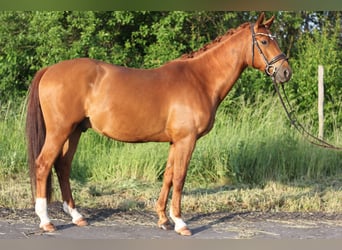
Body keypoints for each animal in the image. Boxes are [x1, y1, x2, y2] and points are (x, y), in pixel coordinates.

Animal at [26, 13, 292, 236]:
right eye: (264, 41)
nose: (285, 72)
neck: (200, 80)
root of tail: (50, 70)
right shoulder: (186, 140)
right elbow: (181, 178)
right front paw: (181, 223)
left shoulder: (176, 142)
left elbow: (169, 176)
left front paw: (164, 219)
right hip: (59, 131)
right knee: (43, 165)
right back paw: (46, 221)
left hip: (75, 132)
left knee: (63, 167)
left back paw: (76, 216)